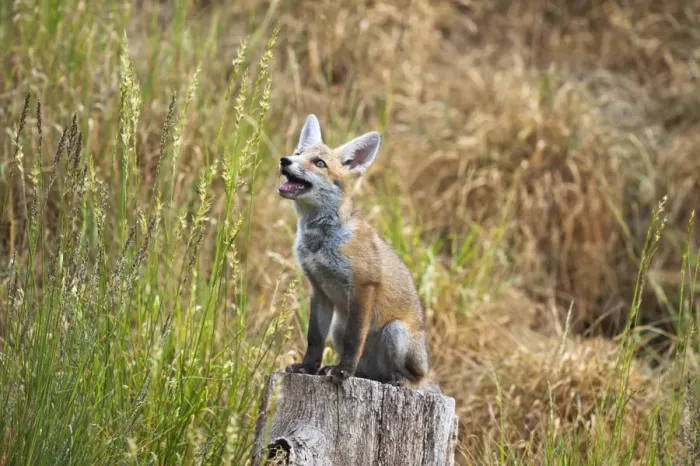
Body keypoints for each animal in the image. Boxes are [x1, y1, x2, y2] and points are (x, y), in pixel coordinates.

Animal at [278, 114, 439, 393]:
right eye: (298, 154)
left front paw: (343, 371)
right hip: (338, 328)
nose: (285, 160)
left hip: (396, 332)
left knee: (416, 379)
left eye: (319, 163)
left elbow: (354, 339)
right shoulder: (319, 290)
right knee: (369, 372)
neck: (321, 242)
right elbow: (314, 339)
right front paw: (307, 368)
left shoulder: (364, 286)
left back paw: (399, 379)